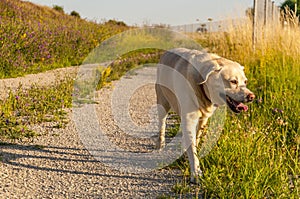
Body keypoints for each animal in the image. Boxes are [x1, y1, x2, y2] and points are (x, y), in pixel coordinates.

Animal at [155, 47, 255, 183]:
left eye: (245, 81)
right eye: (233, 81)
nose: (251, 96)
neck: (201, 86)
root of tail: (167, 52)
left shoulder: (203, 119)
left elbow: (195, 140)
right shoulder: (189, 119)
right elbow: (192, 148)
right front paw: (196, 173)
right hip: (162, 102)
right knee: (162, 125)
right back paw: (160, 144)